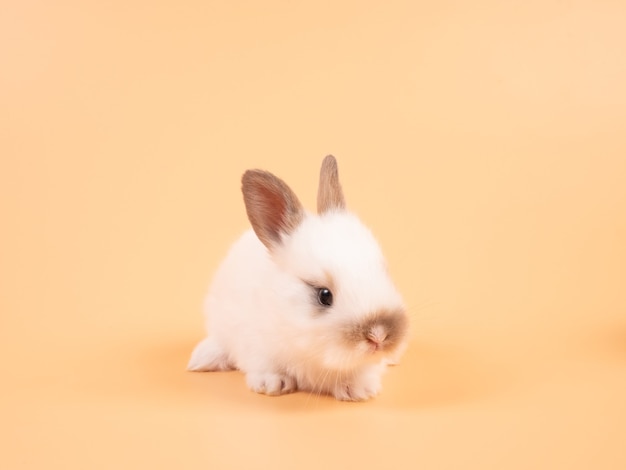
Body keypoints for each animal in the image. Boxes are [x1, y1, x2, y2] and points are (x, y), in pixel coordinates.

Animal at [188, 154, 408, 400]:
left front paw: (359, 390)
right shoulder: (256, 346)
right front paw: (273, 384)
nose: (379, 336)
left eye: (384, 271)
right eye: (324, 295)